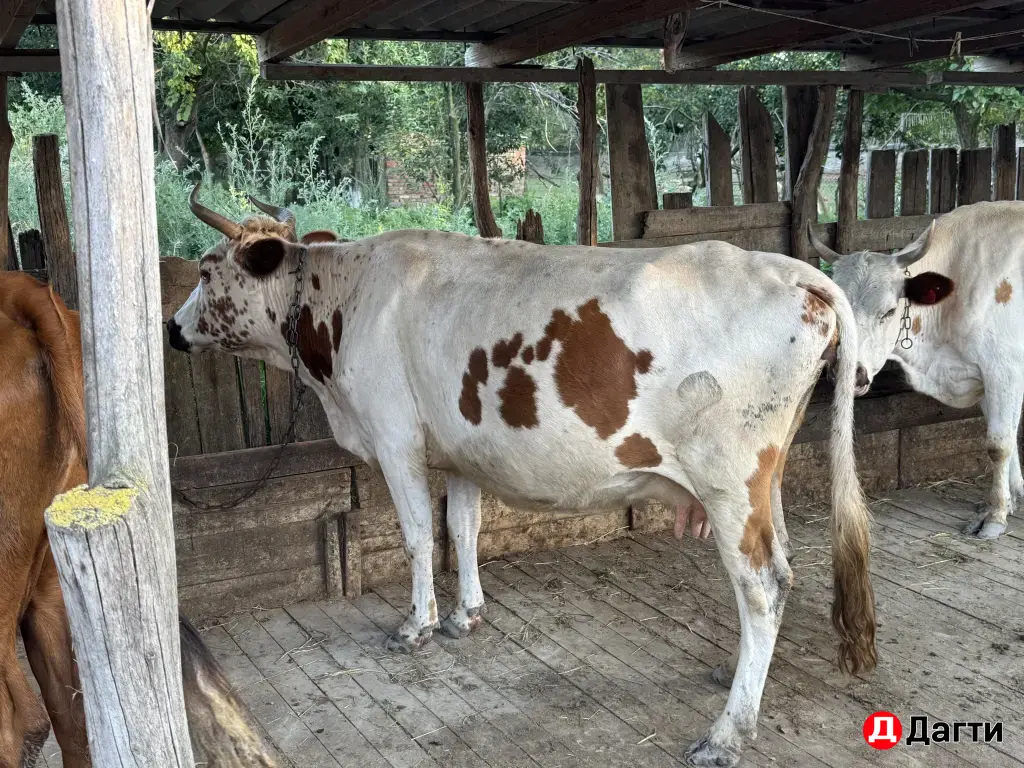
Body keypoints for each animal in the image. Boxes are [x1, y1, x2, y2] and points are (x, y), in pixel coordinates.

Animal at [168, 184, 877, 767]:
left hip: (730, 480)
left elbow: (418, 537)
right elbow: (463, 528)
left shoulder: (395, 439)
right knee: (782, 567)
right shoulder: (460, 451)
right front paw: (464, 615)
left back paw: (727, 733)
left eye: (205, 269)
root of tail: (786, 268)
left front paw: (416, 626)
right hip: (766, 476)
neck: (345, 298)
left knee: (763, 585)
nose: (173, 330)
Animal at [810, 200, 1024, 540]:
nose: (850, 372)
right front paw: (1012, 496)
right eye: (837, 310)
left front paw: (996, 516)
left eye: (889, 311)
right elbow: (1009, 435)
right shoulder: (984, 376)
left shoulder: (1005, 369)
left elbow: (999, 443)